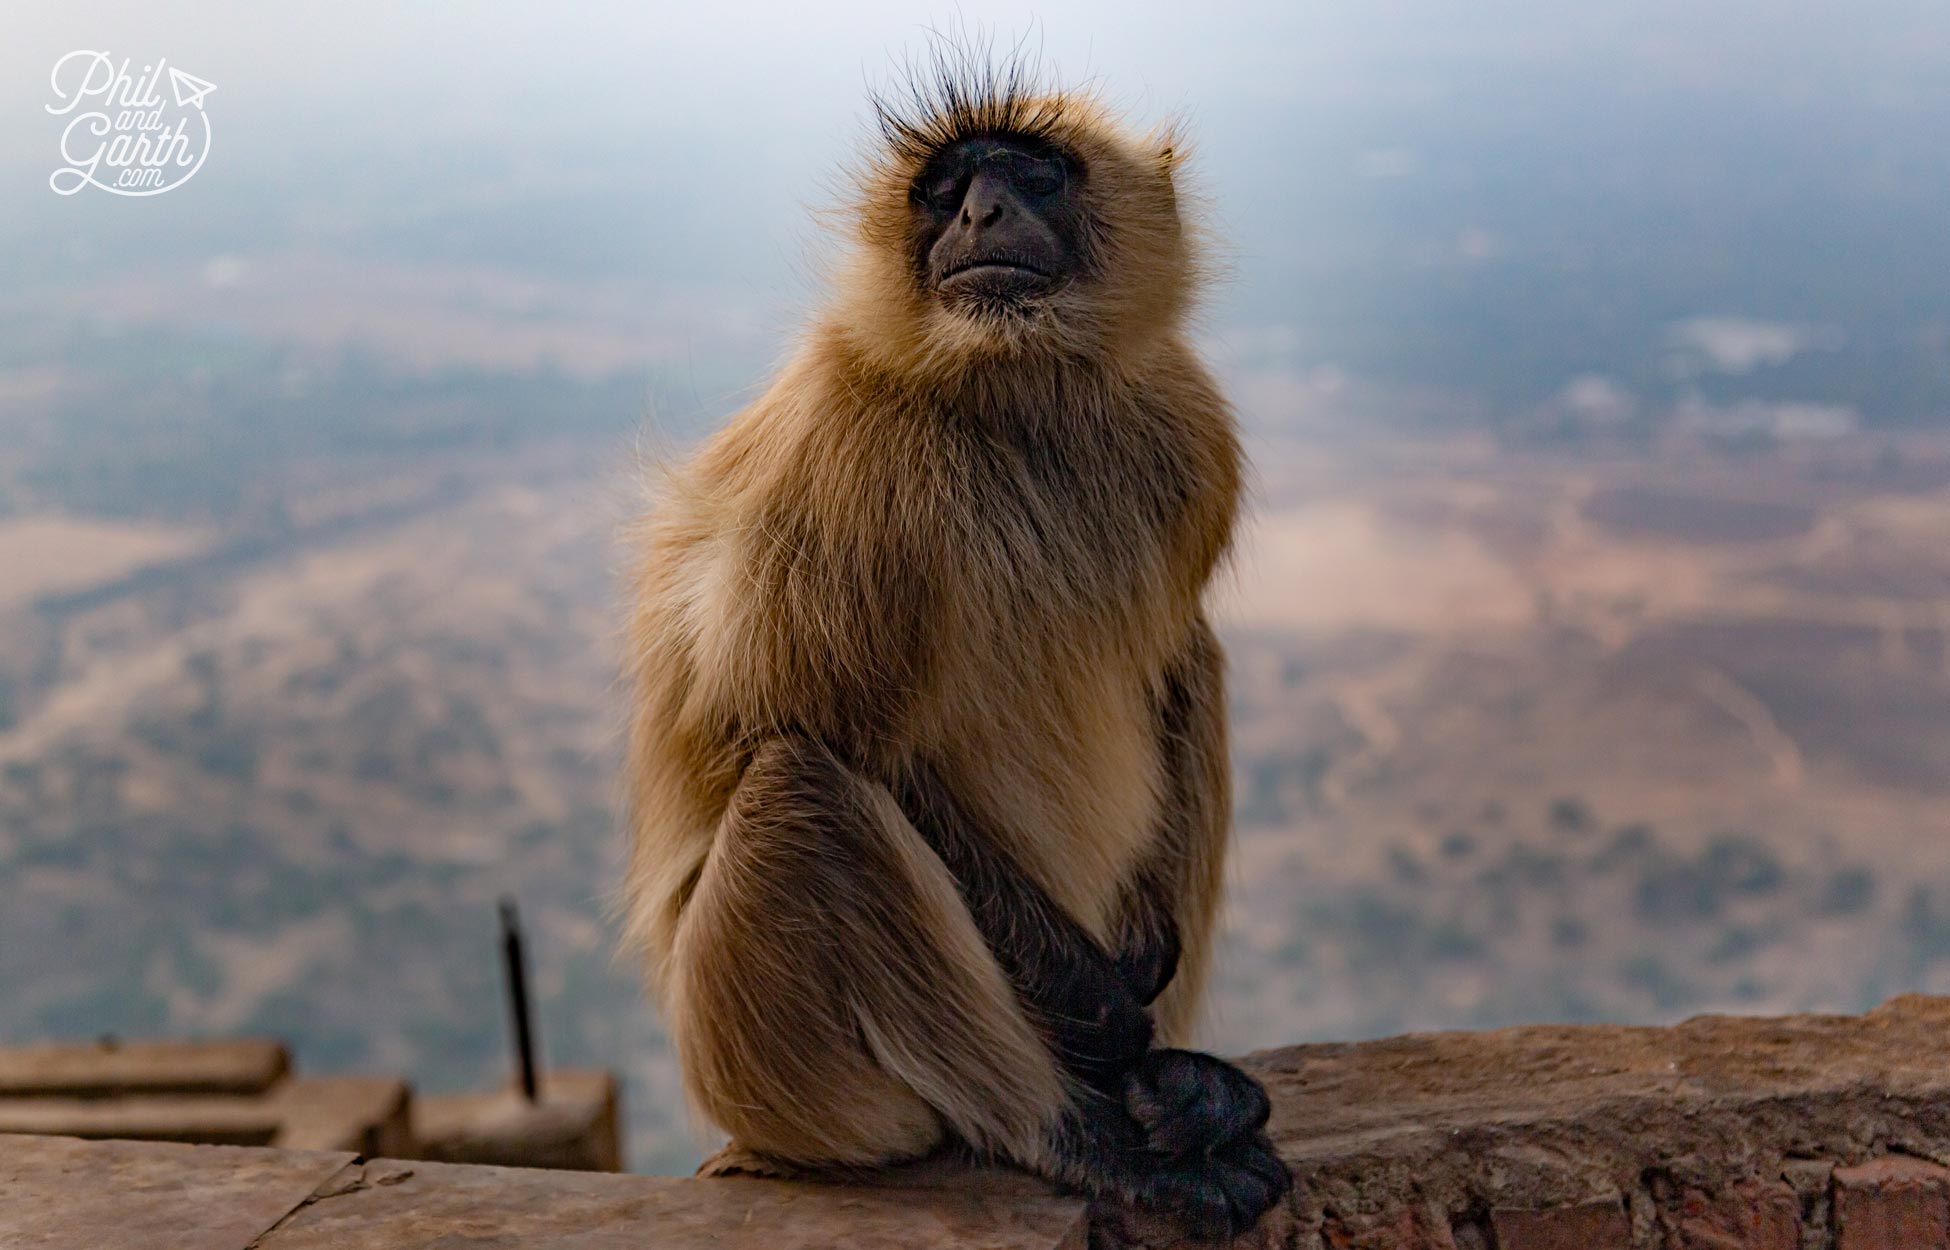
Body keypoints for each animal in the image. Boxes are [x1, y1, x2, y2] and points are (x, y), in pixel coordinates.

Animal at [624, 51, 1287, 1240]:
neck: (1013, 391)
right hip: (768, 1068)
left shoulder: (1189, 425)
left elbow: (1169, 655)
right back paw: (1086, 1132)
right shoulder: (847, 456)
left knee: (1196, 658)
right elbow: (810, 727)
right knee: (803, 794)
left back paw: (1185, 1095)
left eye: (1033, 173)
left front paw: (1145, 995)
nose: (980, 212)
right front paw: (1103, 1010)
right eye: (944, 190)